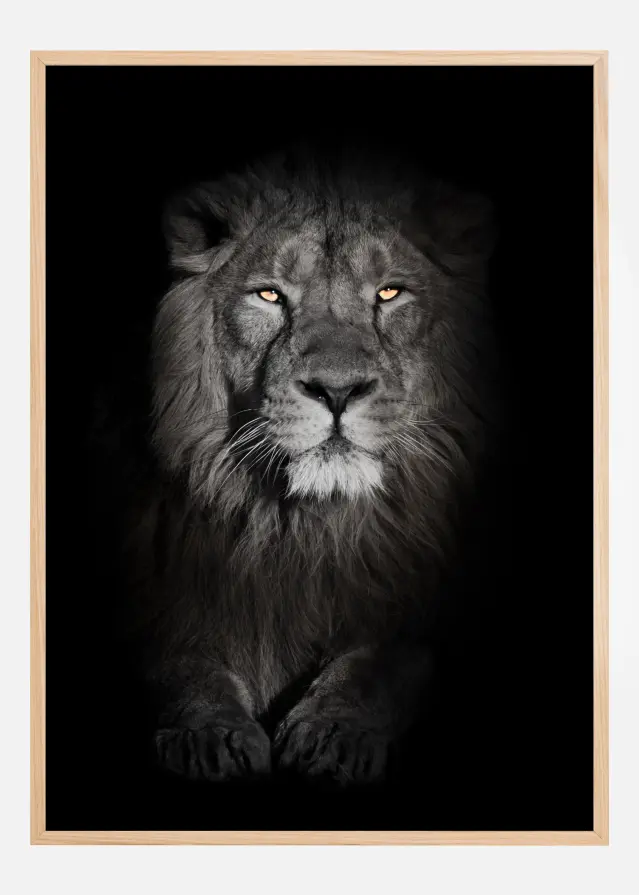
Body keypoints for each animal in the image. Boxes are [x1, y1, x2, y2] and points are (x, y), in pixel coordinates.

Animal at [129, 146, 496, 786]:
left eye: (390, 293)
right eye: (270, 296)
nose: (337, 390)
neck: (304, 528)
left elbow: (384, 661)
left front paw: (334, 733)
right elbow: (181, 663)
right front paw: (210, 737)